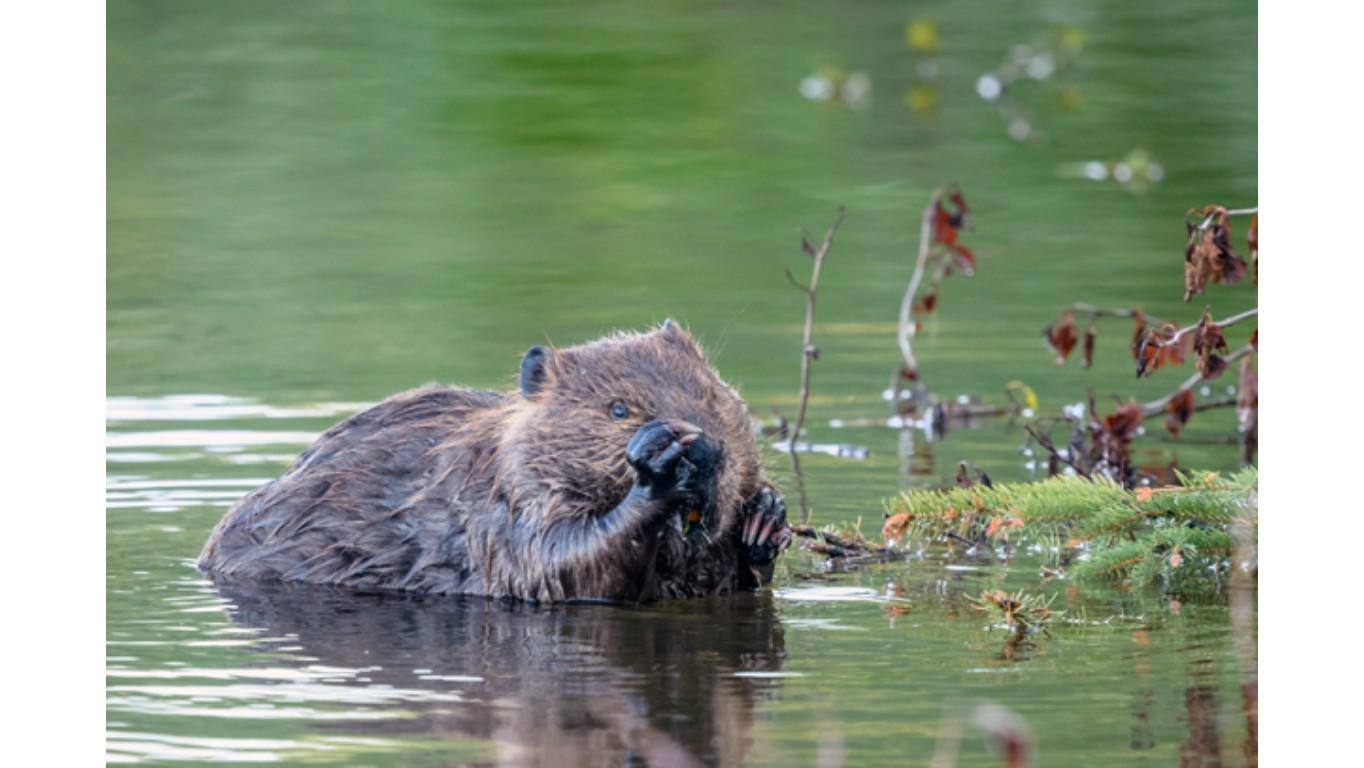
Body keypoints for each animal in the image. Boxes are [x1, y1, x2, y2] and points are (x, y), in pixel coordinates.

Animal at [195, 321, 791, 602]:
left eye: (711, 395)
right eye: (619, 408)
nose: (705, 449)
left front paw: (765, 518)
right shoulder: (506, 508)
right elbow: (562, 566)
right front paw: (659, 469)